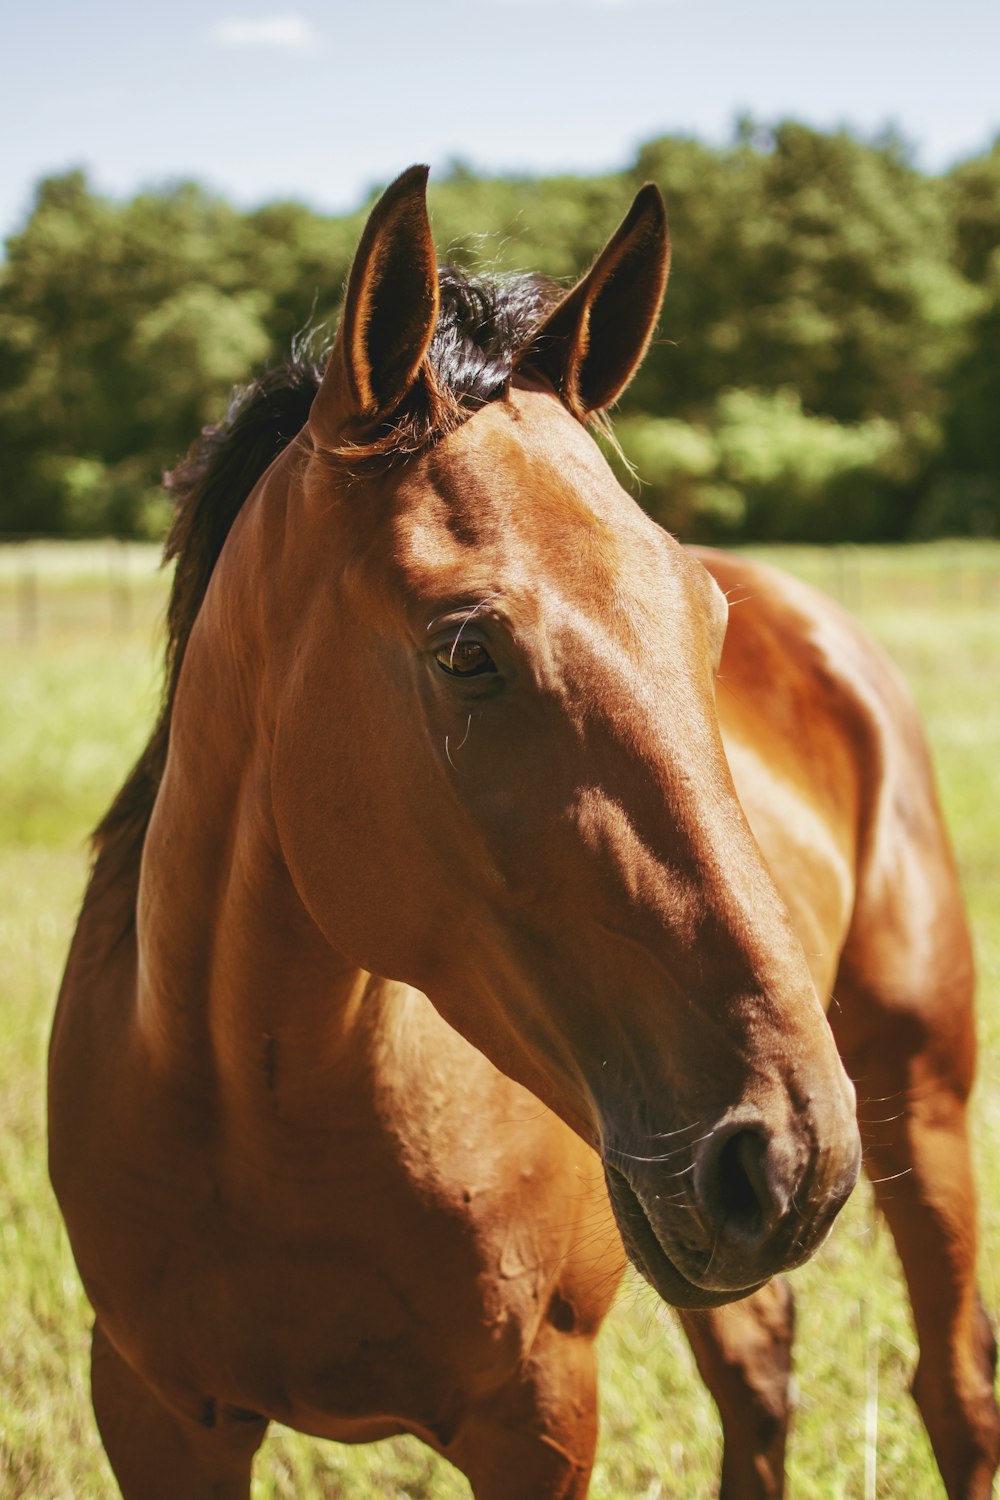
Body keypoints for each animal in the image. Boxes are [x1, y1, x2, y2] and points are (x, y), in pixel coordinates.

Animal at [50, 167, 995, 1500]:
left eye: (704, 623)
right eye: (464, 649)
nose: (790, 1152)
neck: (257, 1112)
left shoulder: (537, 1415)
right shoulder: (156, 1413)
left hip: (925, 1098)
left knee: (953, 1392)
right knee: (756, 1382)